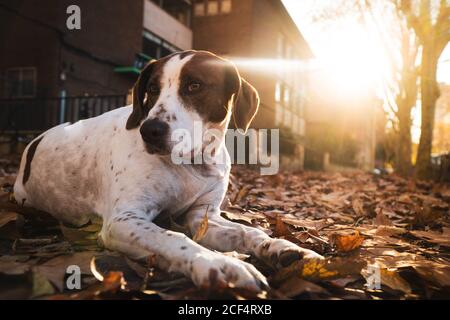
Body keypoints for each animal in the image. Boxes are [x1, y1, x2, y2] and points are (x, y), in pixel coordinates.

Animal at [13, 50, 320, 292]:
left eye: (195, 85)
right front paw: (220, 264)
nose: (151, 130)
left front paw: (284, 248)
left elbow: (249, 232)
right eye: (151, 89)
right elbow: (174, 238)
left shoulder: (202, 216)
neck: (191, 165)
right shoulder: (123, 219)